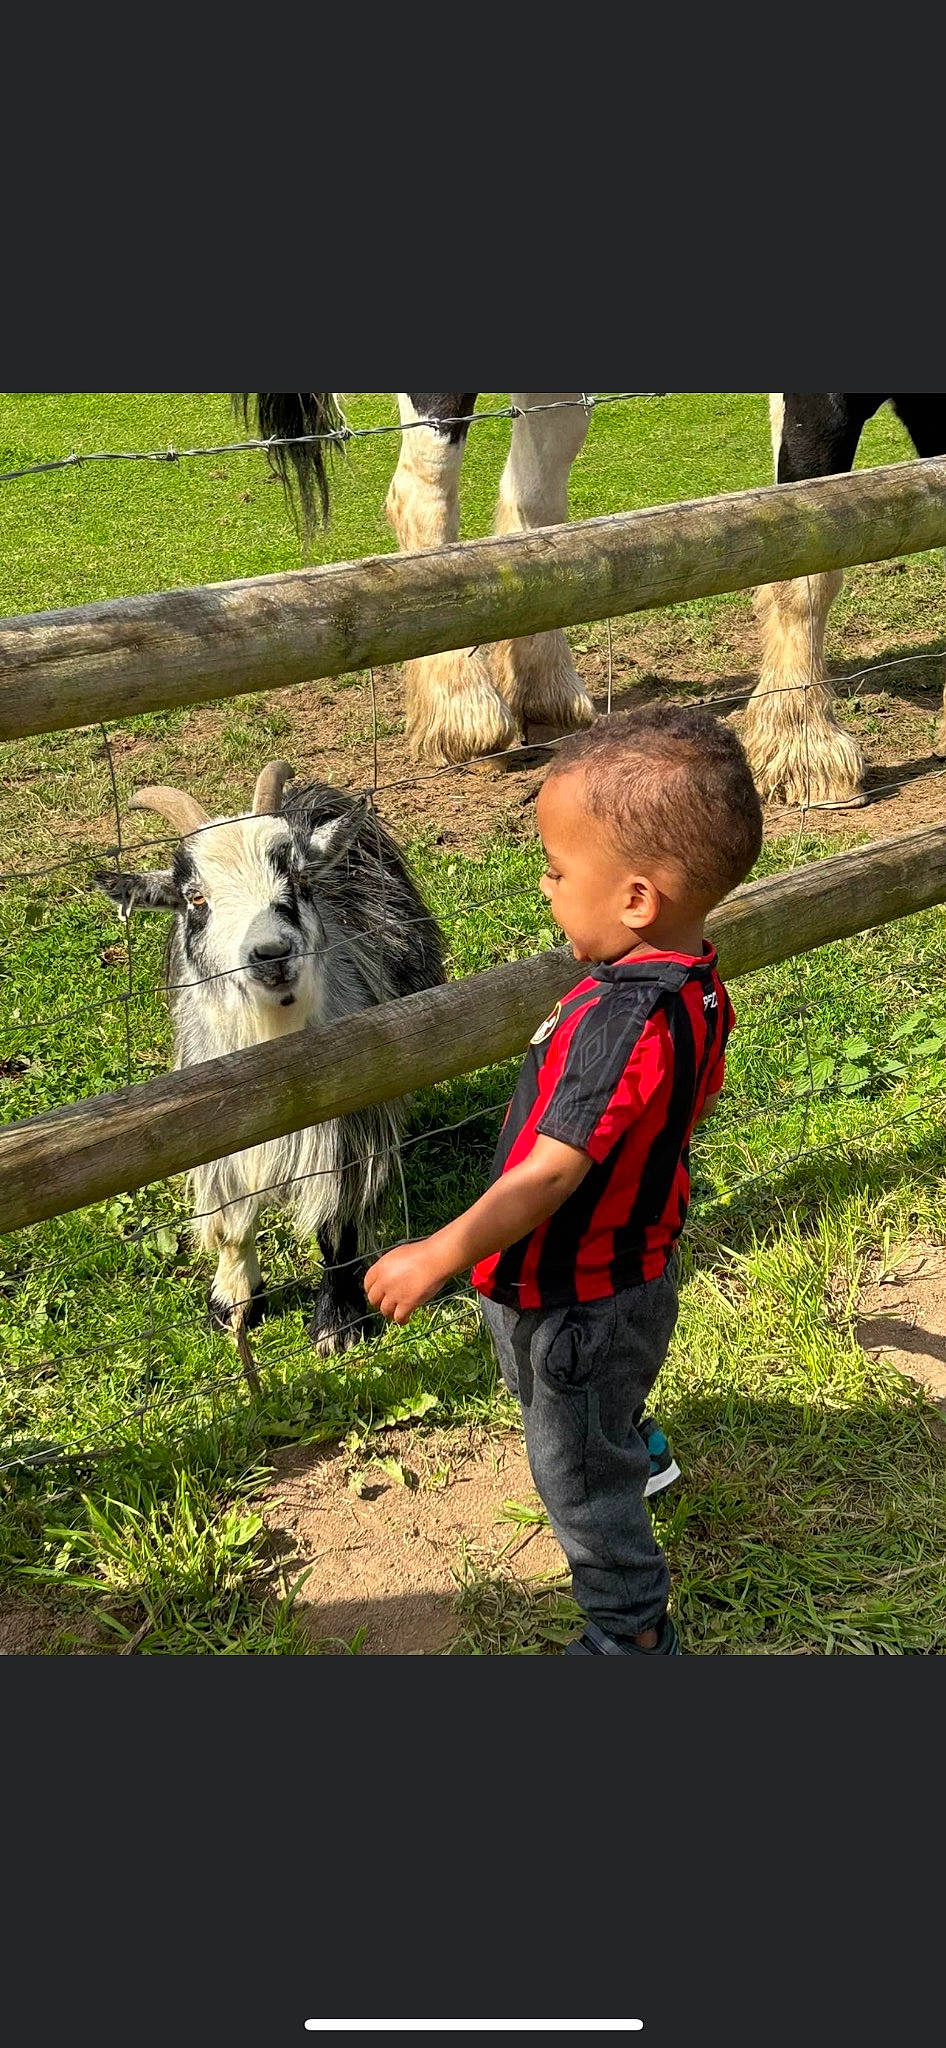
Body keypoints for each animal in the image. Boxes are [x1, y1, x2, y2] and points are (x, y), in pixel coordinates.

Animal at [95, 760, 445, 1353]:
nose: (271, 954)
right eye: (195, 899)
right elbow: (232, 1222)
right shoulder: (209, 1132)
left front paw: (338, 1321)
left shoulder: (348, 1123)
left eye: (300, 882)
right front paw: (233, 1301)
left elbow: (337, 1225)